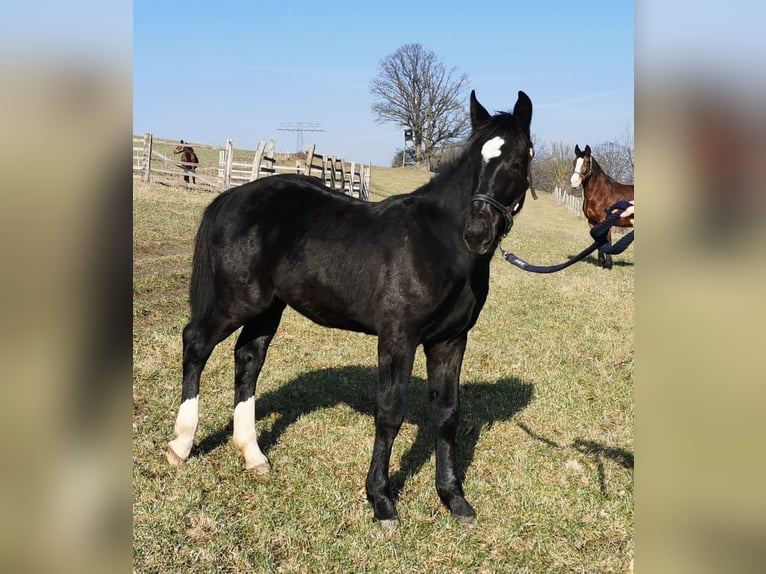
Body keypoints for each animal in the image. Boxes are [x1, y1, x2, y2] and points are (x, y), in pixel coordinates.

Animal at [166, 91, 536, 532]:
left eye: (517, 160)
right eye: (474, 159)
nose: (477, 233)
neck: (439, 244)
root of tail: (230, 198)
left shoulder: (450, 341)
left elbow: (447, 413)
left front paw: (454, 499)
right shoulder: (398, 338)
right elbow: (390, 412)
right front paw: (382, 501)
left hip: (268, 308)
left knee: (248, 359)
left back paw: (252, 454)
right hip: (236, 301)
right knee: (196, 344)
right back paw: (181, 445)